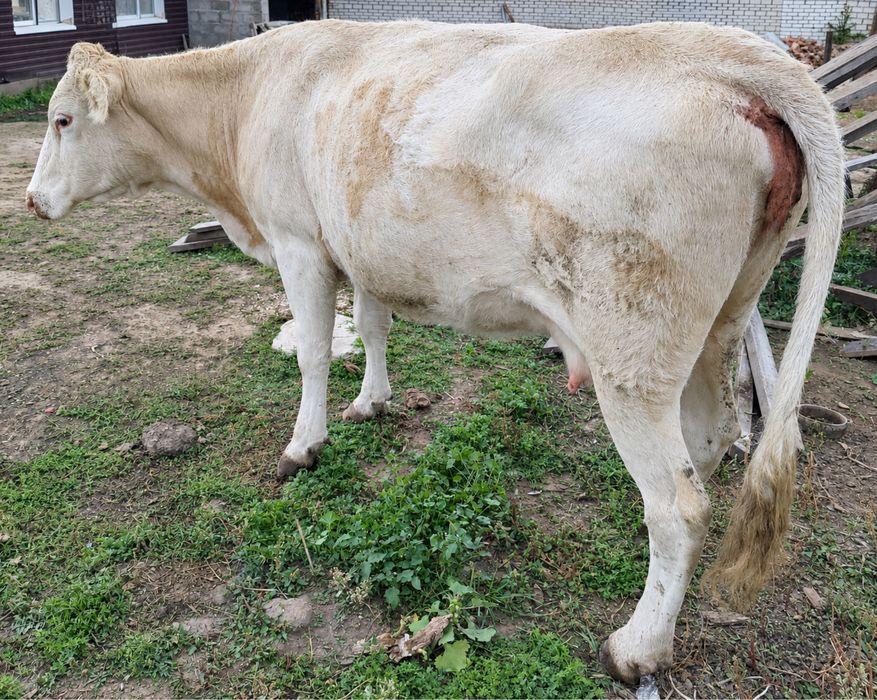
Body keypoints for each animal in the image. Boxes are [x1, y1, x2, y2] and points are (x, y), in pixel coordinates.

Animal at [25, 20, 844, 684]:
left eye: (62, 119)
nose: (31, 202)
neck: (247, 99)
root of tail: (724, 55)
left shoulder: (299, 243)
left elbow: (314, 352)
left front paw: (303, 445)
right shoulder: (363, 249)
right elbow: (374, 327)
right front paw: (371, 402)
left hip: (631, 356)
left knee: (678, 506)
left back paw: (636, 647)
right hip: (719, 325)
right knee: (708, 444)